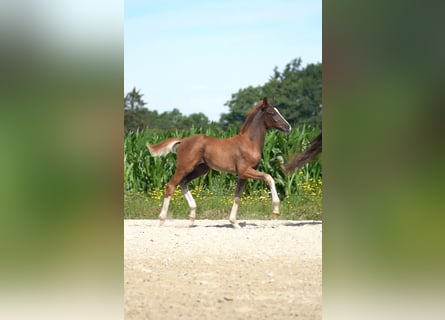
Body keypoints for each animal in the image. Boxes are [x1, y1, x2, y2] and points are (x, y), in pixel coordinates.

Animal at [147, 97, 292, 228]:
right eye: (272, 112)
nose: (288, 127)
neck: (249, 143)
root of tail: (182, 141)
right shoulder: (245, 171)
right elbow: (269, 177)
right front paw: (275, 211)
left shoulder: (243, 175)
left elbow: (237, 196)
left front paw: (234, 223)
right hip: (184, 168)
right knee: (171, 186)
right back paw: (162, 219)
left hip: (200, 169)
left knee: (183, 183)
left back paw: (192, 216)